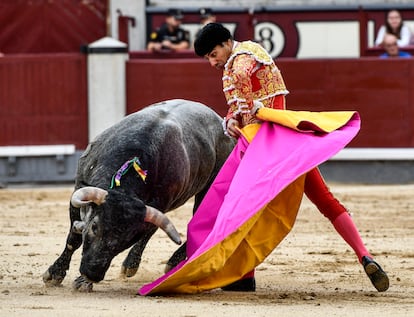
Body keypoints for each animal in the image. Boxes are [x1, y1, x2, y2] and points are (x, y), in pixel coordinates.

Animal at [42, 98, 236, 288]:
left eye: (127, 240)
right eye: (95, 226)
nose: (92, 274)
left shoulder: (159, 205)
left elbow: (145, 234)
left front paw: (82, 282)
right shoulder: (78, 191)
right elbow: (73, 238)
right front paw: (55, 274)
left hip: (208, 190)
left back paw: (163, 263)